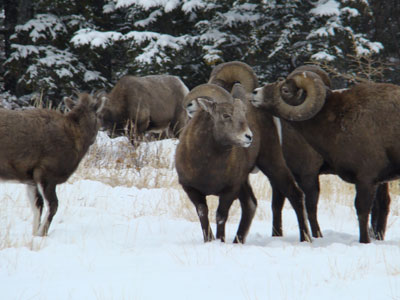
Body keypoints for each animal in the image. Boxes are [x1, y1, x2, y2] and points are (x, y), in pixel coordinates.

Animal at [0, 94, 104, 237]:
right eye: (99, 115)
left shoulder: (31, 179)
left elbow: (37, 207)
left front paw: (34, 234)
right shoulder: (46, 172)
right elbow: (53, 206)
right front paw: (42, 233)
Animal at [184, 61, 312, 241]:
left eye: (219, 84)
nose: (191, 106)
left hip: (273, 165)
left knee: (294, 195)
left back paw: (305, 238)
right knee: (265, 202)